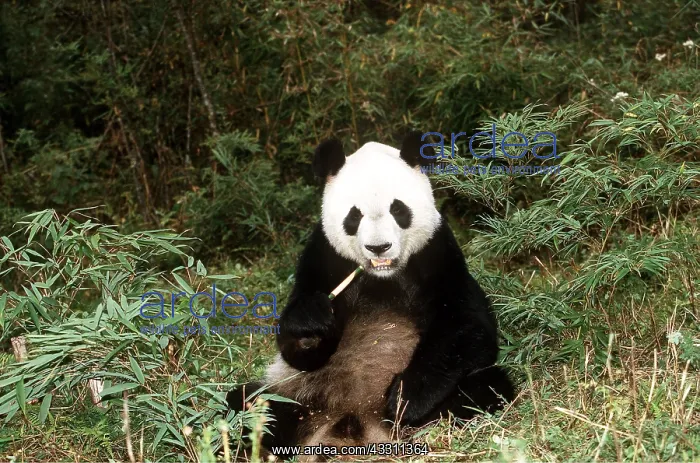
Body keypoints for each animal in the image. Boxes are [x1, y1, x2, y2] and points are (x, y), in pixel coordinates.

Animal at [227, 132, 515, 460]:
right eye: (354, 216)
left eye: (398, 210)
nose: (379, 247)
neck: (382, 277)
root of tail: (357, 427)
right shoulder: (324, 255)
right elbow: (296, 346)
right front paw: (311, 329)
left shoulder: (437, 253)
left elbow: (467, 326)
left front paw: (404, 399)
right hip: (297, 396)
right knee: (249, 403)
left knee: (487, 387)